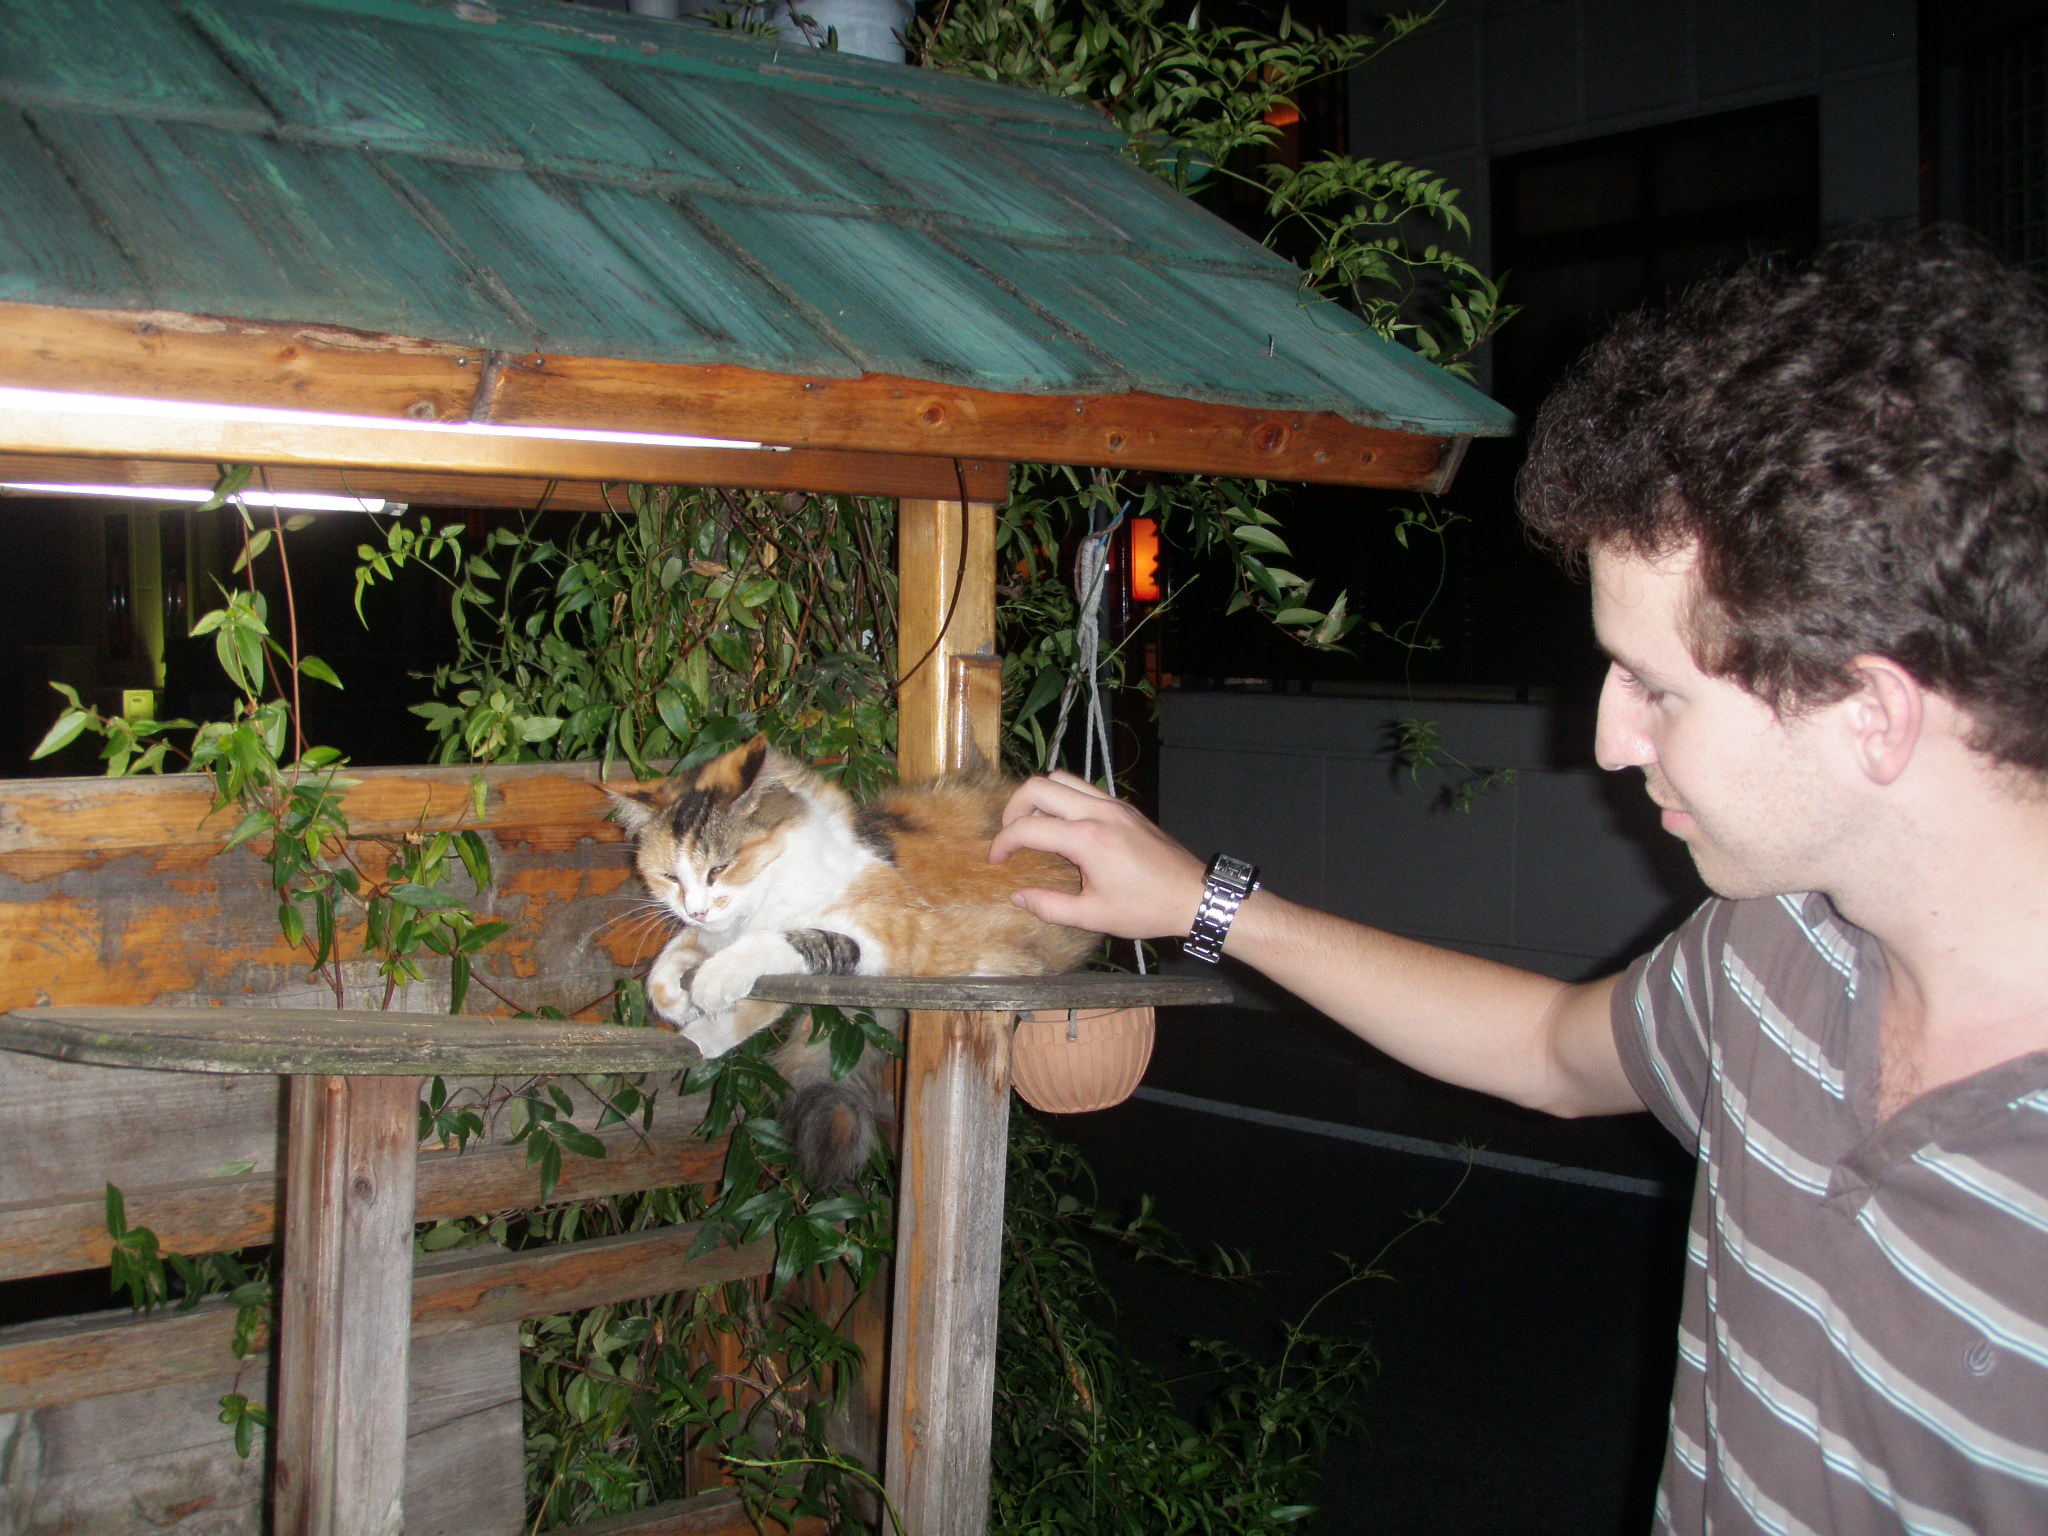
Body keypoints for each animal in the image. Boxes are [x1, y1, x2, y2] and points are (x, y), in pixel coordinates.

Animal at [608, 735, 1099, 1182]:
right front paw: (680, 1009)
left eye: (719, 869)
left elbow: (792, 943)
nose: (696, 908)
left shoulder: (895, 932)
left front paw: (710, 986)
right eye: (670, 877)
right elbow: (685, 958)